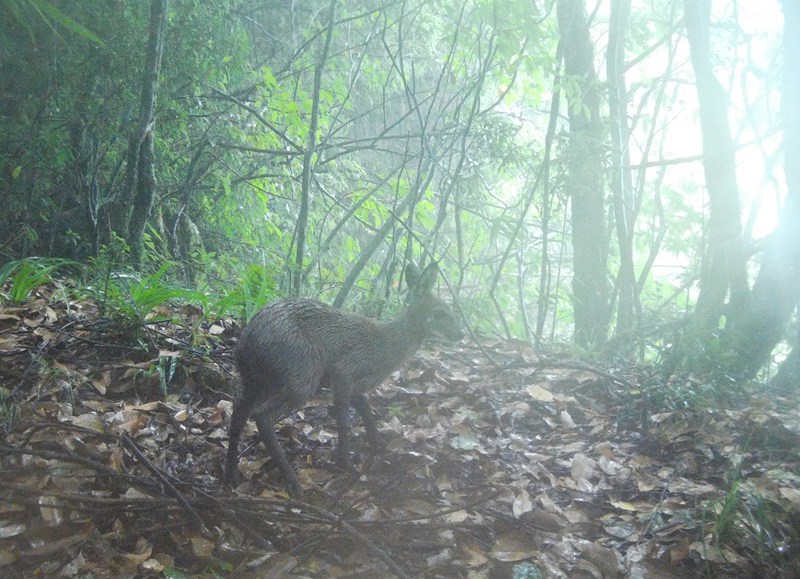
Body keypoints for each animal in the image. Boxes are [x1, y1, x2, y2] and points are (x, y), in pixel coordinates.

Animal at [223, 260, 462, 496]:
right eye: (440, 312)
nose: (460, 334)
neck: (387, 346)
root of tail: (247, 339)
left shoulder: (358, 385)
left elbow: (366, 411)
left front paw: (379, 445)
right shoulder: (344, 371)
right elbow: (344, 420)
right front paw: (345, 463)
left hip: (256, 381)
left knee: (238, 408)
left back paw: (230, 476)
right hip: (301, 379)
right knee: (262, 416)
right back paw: (295, 485)